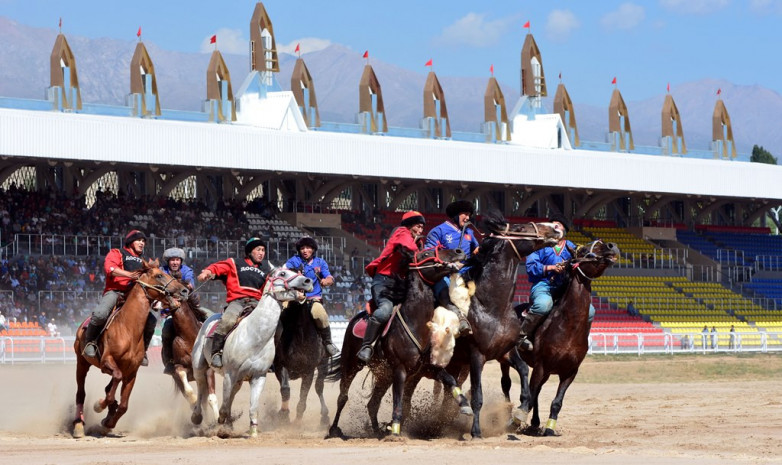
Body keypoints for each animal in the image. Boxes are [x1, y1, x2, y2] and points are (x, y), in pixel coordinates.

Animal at [72, 260, 191, 436]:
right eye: (159, 275)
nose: (184, 290)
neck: (128, 329)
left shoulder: (131, 373)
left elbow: (123, 405)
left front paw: (108, 423)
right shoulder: (107, 361)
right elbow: (113, 386)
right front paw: (99, 406)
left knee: (109, 388)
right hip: (82, 363)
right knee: (81, 393)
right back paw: (78, 425)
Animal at [191, 266, 314, 436]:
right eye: (283, 273)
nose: (308, 281)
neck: (254, 336)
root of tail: (209, 317)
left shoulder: (258, 376)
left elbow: (253, 407)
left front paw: (253, 431)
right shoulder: (230, 374)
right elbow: (224, 407)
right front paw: (221, 424)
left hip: (239, 380)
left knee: (230, 394)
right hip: (199, 366)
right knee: (201, 386)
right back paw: (197, 416)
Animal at [326, 245, 468, 436]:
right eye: (426, 253)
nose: (459, 251)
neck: (415, 322)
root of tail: (356, 318)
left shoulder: (427, 369)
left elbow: (451, 380)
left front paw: (465, 404)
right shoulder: (400, 370)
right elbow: (399, 403)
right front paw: (394, 430)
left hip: (383, 375)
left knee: (372, 404)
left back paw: (377, 431)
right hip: (351, 365)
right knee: (343, 397)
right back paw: (334, 429)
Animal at [516, 239, 620, 436]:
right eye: (584, 250)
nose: (611, 246)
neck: (567, 326)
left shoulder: (570, 372)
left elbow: (556, 402)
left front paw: (549, 428)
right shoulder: (540, 367)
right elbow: (531, 397)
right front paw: (517, 418)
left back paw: (535, 423)